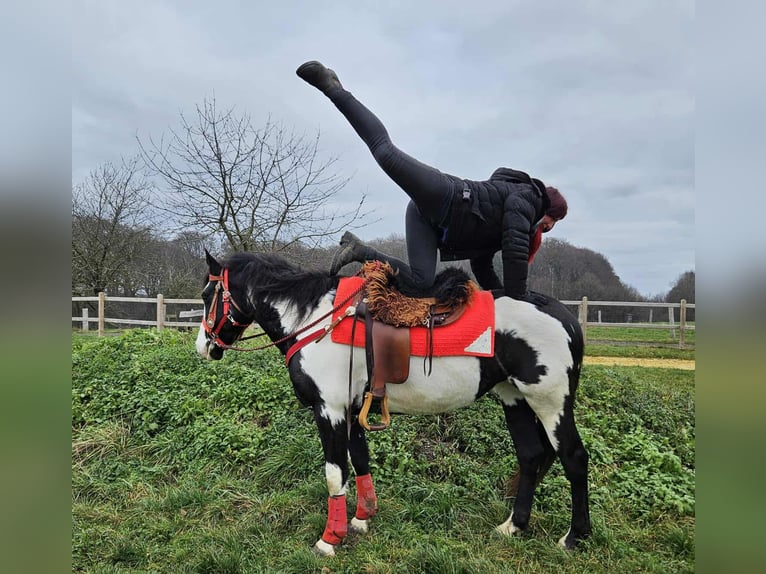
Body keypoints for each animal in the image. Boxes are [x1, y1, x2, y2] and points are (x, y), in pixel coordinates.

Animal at [195, 250, 591, 556]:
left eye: (206, 293)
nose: (204, 346)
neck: (314, 321)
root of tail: (566, 318)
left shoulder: (330, 410)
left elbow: (334, 474)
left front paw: (330, 539)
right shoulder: (352, 410)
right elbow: (359, 462)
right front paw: (361, 519)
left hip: (550, 402)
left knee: (573, 458)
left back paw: (575, 537)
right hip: (515, 399)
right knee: (531, 457)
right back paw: (513, 526)